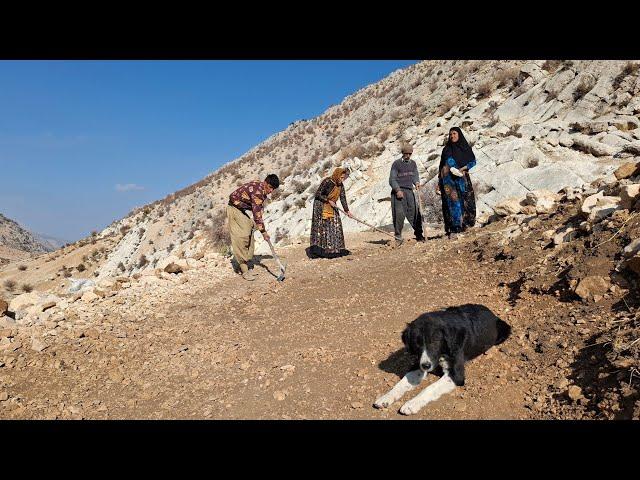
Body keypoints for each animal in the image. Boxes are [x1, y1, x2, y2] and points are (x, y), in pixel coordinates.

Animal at [372, 306, 512, 414]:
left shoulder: (456, 375)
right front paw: (386, 397)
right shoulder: (418, 365)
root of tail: (490, 312)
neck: (442, 351)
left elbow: (430, 388)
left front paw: (411, 404)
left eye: (435, 342)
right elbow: (402, 383)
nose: (426, 366)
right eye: (417, 344)